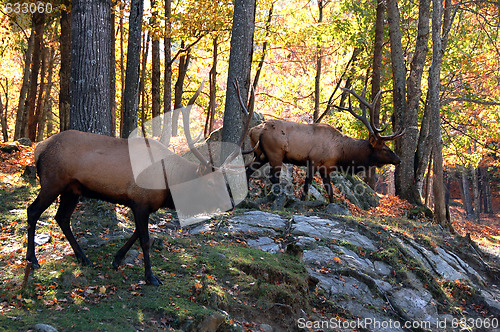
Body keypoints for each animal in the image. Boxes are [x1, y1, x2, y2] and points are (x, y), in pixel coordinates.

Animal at [26, 81, 254, 286]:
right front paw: (150, 277)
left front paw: (117, 259)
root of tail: (39, 148)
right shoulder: (140, 201)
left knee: (62, 217)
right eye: (209, 184)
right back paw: (33, 259)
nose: (230, 205)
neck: (168, 186)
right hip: (52, 182)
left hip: (72, 189)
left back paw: (83, 258)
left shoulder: (144, 204)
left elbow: (136, 233)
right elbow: (145, 240)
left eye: (225, 181)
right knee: (33, 210)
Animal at [246, 88, 406, 202]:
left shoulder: (326, 167)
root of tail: (255, 130)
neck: (341, 153)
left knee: (248, 170)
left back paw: (247, 194)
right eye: (385, 148)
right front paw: (302, 201)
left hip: (261, 154)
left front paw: (332, 204)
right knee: (273, 177)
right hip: (275, 153)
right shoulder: (313, 160)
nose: (399, 160)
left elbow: (329, 190)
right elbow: (308, 183)